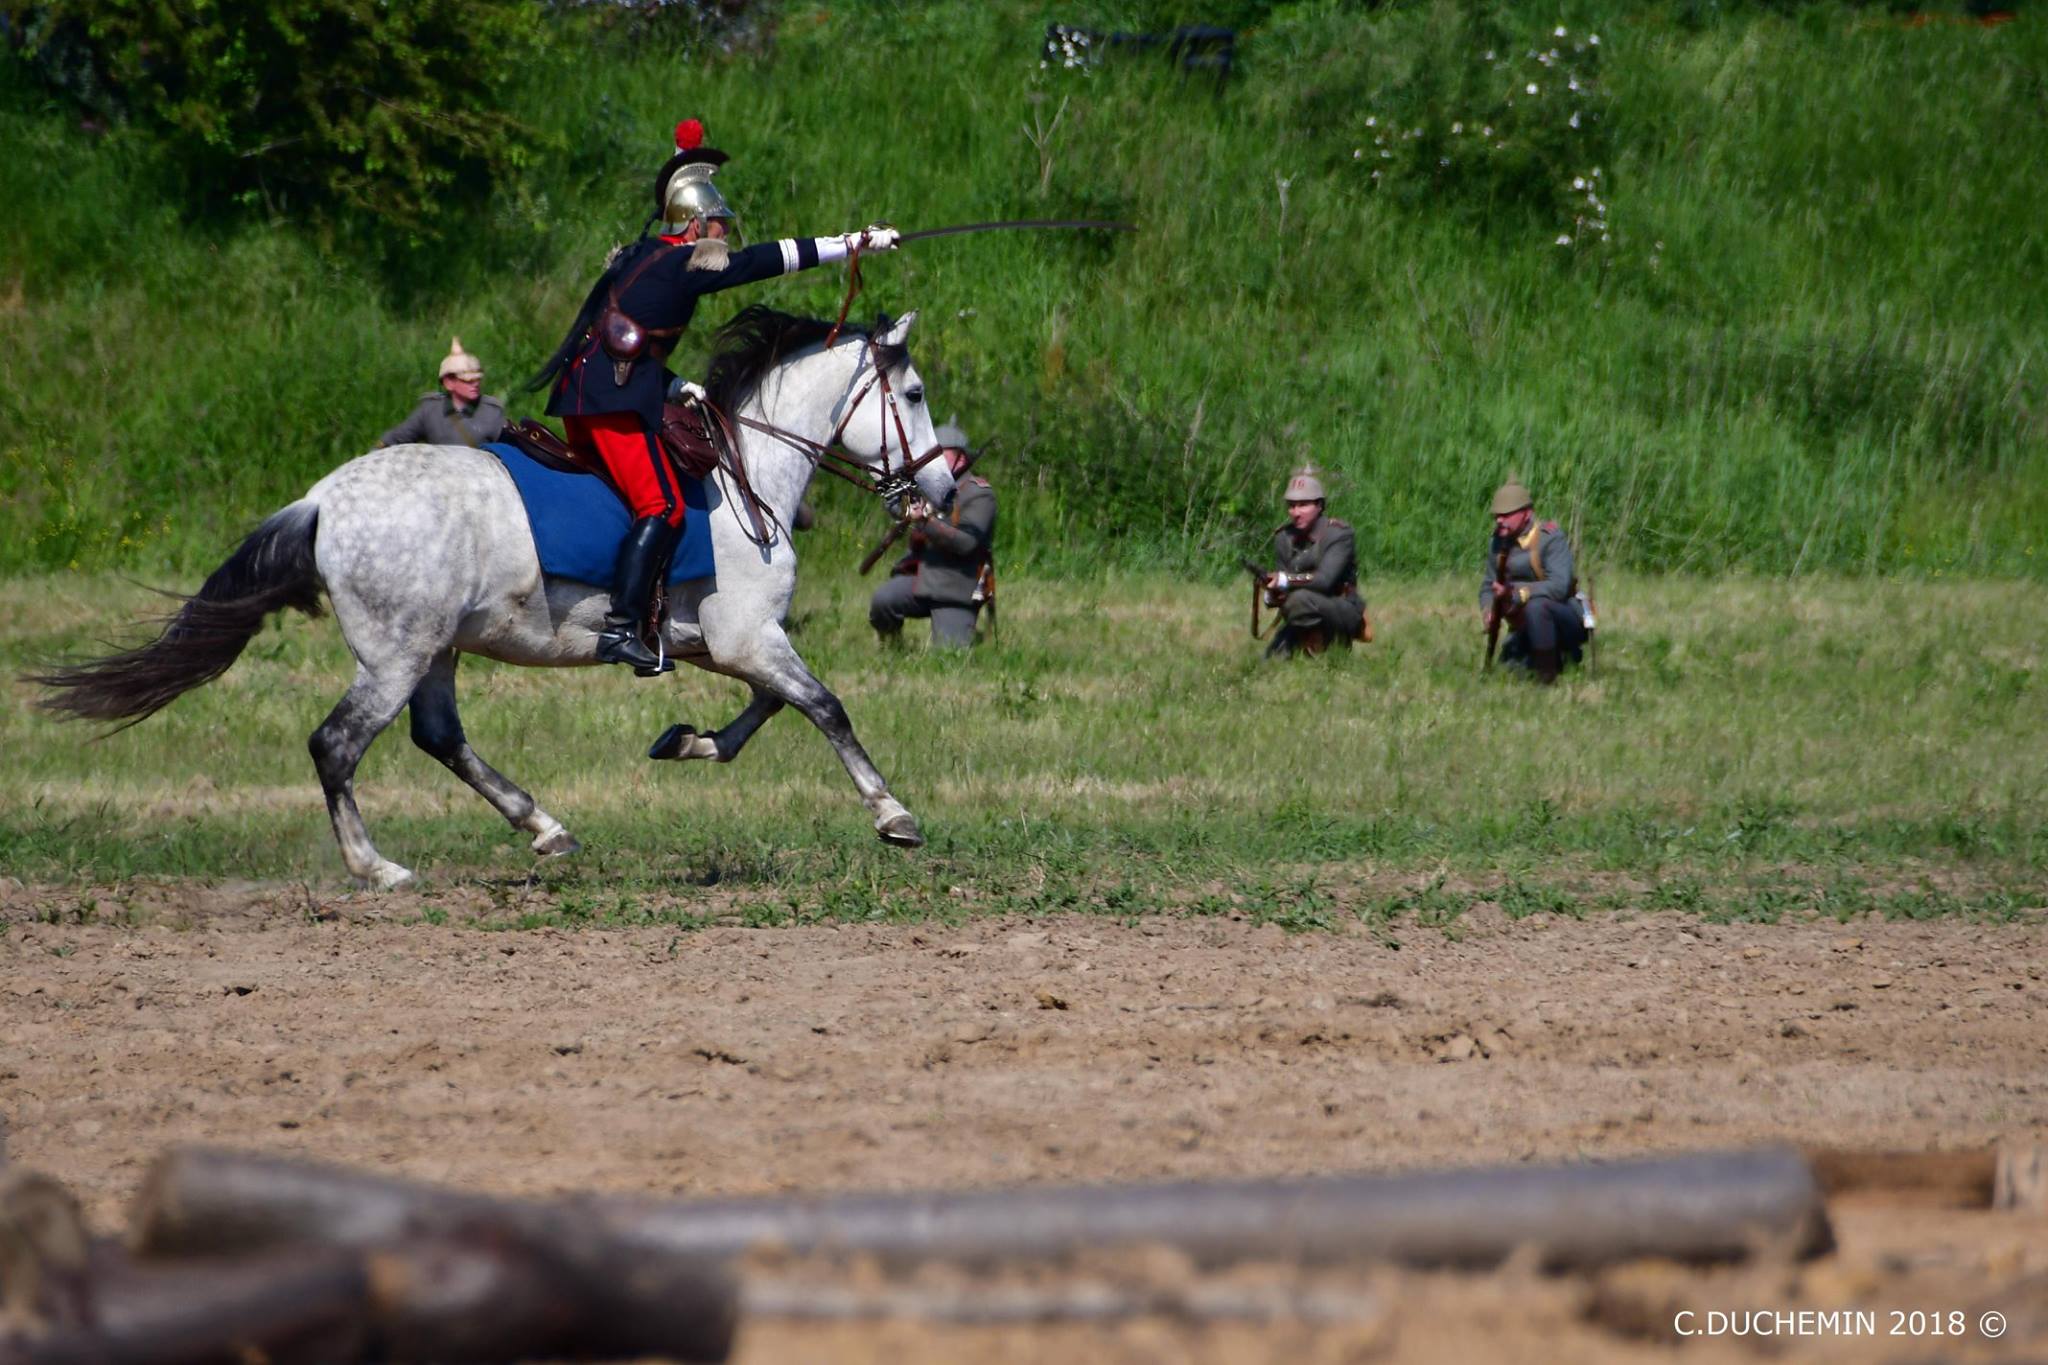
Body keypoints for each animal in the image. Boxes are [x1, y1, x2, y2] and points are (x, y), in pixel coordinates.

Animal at [34, 304, 958, 892]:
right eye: (914, 396)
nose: (942, 491)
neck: (744, 473)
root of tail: (322, 498)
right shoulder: (749, 635)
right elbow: (823, 705)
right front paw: (895, 815)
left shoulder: (726, 642)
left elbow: (766, 710)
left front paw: (688, 742)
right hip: (398, 654)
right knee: (337, 744)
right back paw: (378, 867)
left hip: (435, 650)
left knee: (440, 737)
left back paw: (543, 826)